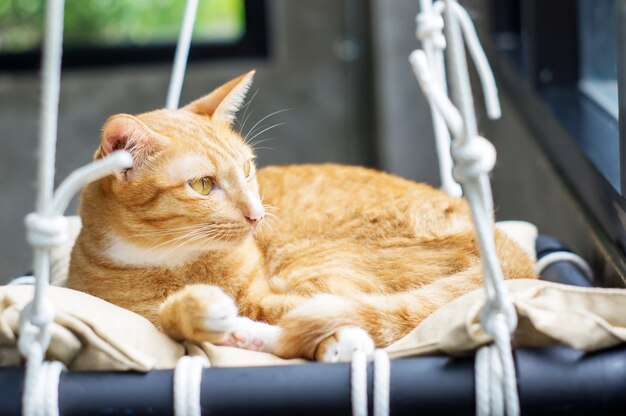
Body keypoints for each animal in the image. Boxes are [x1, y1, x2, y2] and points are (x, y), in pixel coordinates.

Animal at [69, 70, 536, 360]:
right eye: (202, 185)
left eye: (247, 169)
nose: (257, 216)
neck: (170, 261)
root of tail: (506, 243)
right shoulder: (141, 316)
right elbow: (169, 319)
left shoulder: (270, 293)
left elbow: (308, 314)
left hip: (311, 256)